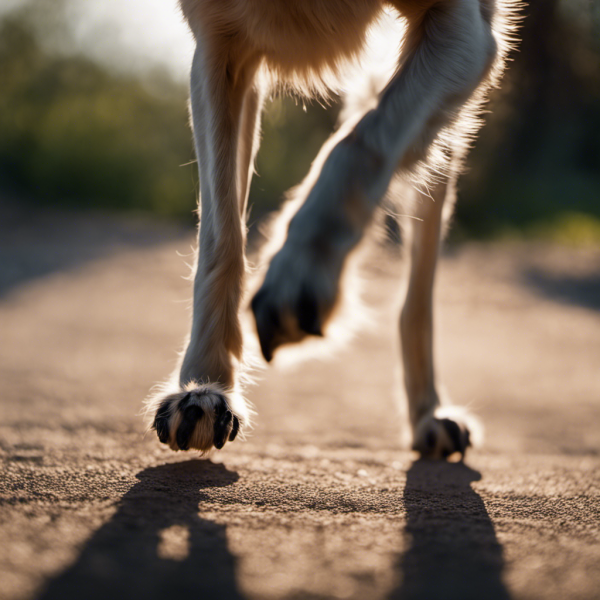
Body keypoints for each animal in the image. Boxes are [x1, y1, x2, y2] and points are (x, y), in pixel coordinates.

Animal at [146, 0, 520, 460]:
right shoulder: (221, 45)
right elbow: (220, 236)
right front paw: (203, 387)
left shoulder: (467, 28)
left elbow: (360, 140)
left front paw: (302, 269)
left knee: (418, 288)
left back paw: (428, 413)